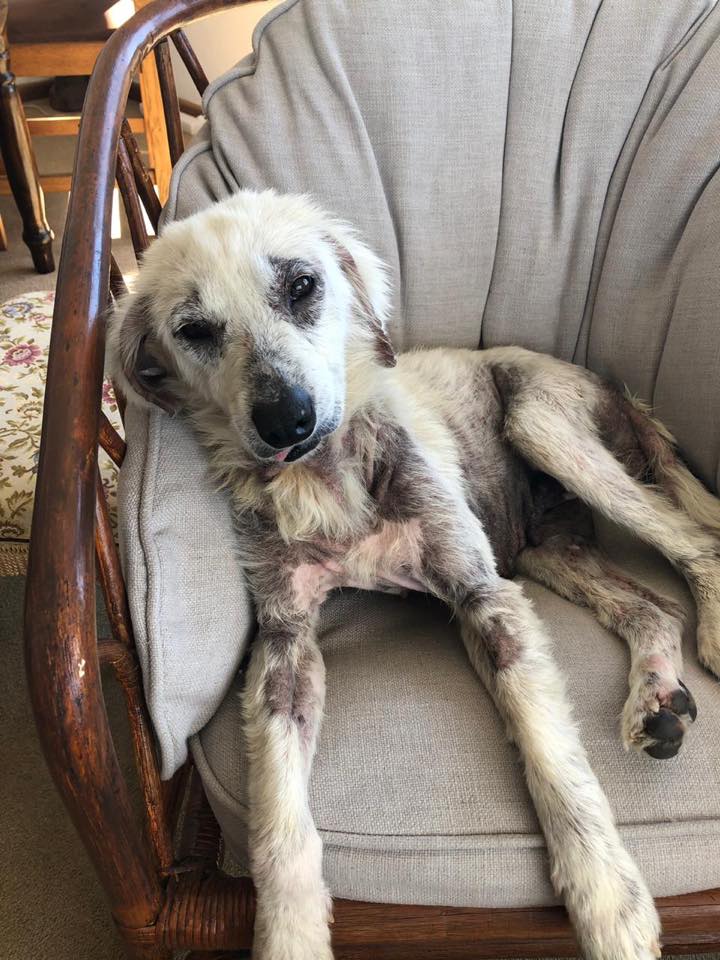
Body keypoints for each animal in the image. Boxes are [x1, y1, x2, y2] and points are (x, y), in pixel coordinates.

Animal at [107, 189, 720, 960]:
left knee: (698, 543)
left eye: (302, 285)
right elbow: (278, 819)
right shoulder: (284, 646)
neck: (326, 482)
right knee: (651, 607)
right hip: (545, 547)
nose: (287, 421)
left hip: (543, 427)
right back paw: (656, 699)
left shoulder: (485, 595)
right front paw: (290, 933)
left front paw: (607, 899)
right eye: (193, 330)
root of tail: (617, 391)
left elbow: (555, 761)